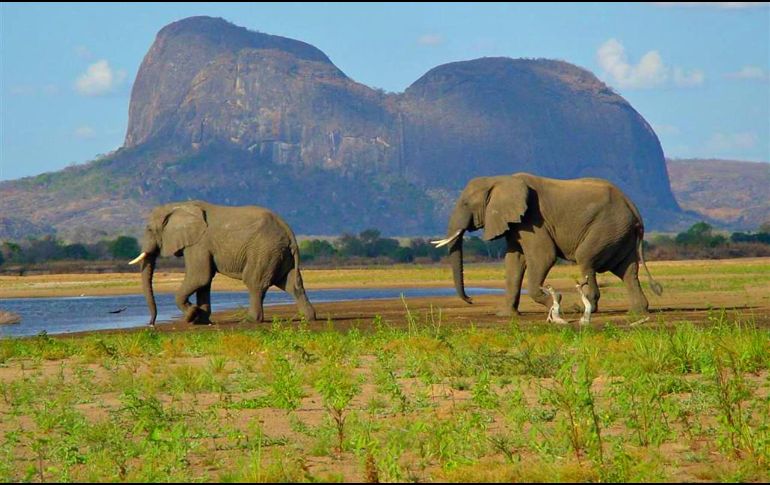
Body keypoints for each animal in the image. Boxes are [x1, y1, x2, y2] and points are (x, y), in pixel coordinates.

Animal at [129, 200, 317, 325]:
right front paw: (202, 319)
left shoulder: (199, 243)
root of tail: (289, 232)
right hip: (280, 253)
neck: (180, 205)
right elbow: (204, 282)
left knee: (254, 283)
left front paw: (192, 315)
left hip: (264, 250)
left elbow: (199, 276)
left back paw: (249, 320)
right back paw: (308, 318)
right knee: (292, 284)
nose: (151, 324)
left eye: (149, 229)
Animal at [432, 173, 662, 317]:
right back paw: (638, 311)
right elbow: (513, 262)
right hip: (620, 233)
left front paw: (555, 303)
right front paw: (505, 314)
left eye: (465, 204)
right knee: (628, 270)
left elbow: (543, 257)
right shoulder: (516, 224)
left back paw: (582, 309)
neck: (500, 179)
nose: (471, 300)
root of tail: (632, 206)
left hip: (607, 227)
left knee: (587, 260)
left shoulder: (532, 220)